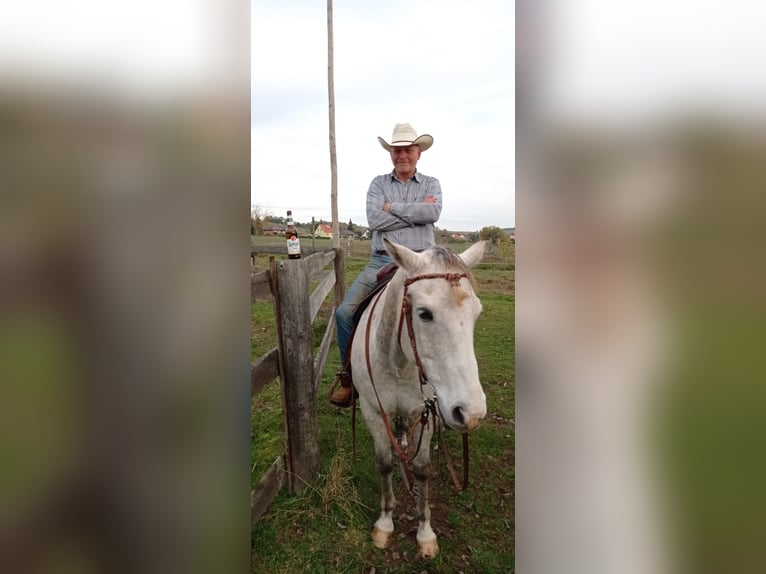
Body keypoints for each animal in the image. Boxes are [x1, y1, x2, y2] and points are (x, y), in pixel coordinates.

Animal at [349, 238, 488, 559]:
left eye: (476, 313)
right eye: (424, 313)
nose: (472, 412)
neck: (398, 363)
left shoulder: (426, 413)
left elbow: (422, 470)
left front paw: (425, 533)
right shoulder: (372, 411)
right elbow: (384, 462)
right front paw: (385, 523)